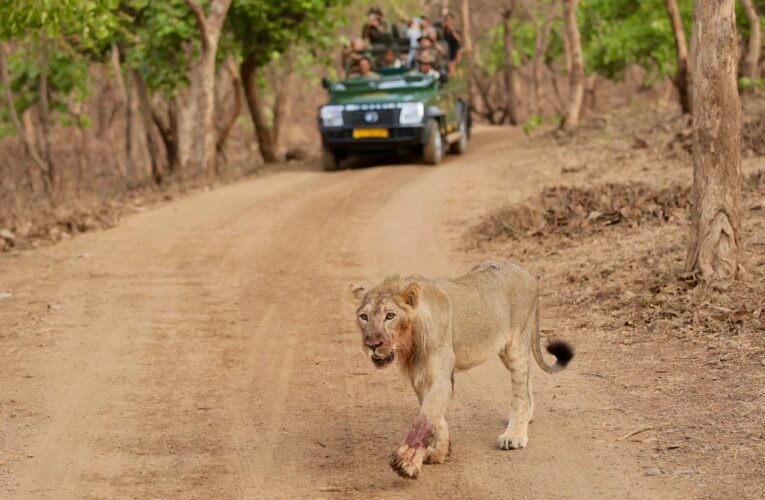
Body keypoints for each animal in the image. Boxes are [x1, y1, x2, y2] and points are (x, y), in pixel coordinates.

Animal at [351, 259, 573, 479]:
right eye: (364, 316)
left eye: (390, 315)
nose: (372, 344)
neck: (410, 340)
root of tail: (527, 272)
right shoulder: (420, 377)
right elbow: (435, 417)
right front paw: (440, 452)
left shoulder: (439, 377)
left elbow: (425, 418)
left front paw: (407, 462)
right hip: (502, 348)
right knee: (528, 379)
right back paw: (527, 417)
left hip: (516, 343)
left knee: (520, 392)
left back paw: (514, 436)